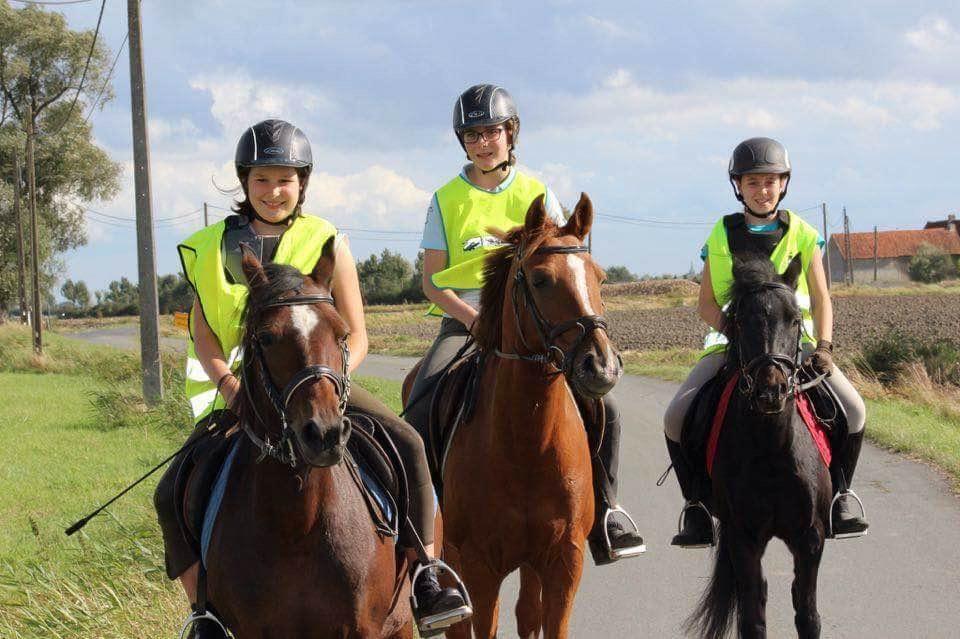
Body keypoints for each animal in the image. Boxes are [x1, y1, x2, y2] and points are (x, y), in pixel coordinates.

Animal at [402, 195, 620, 639]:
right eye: (540, 280)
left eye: (600, 277)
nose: (601, 367)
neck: (528, 444)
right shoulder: (481, 566)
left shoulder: (563, 562)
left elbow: (545, 623)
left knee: (526, 615)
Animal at [688, 255, 832, 639]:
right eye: (740, 320)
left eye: (795, 318)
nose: (771, 391)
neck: (772, 449)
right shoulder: (744, 538)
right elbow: (752, 619)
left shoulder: (810, 538)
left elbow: (808, 615)